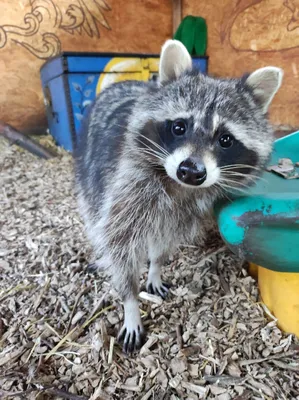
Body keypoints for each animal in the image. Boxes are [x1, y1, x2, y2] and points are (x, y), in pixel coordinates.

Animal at [74, 39, 284, 354]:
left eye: (225, 139)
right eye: (179, 127)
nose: (191, 171)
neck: (179, 186)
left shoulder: (184, 212)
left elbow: (163, 241)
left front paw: (155, 267)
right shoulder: (125, 187)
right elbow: (119, 244)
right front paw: (131, 303)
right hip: (91, 167)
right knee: (94, 212)